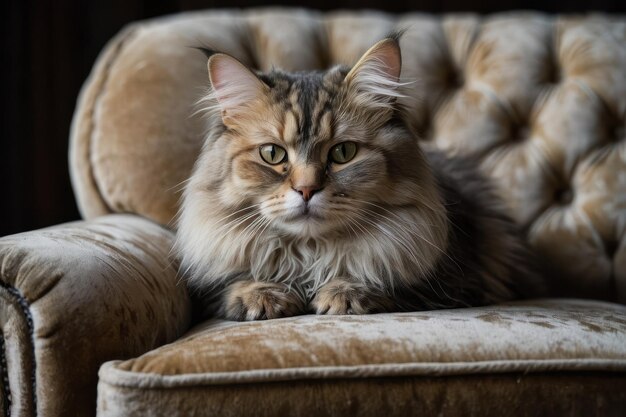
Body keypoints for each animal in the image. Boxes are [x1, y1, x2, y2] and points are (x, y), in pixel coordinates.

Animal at [174, 35, 540, 322]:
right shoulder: (210, 286)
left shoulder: (456, 283)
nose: (306, 189)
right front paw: (263, 296)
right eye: (273, 154)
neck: (311, 256)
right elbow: (234, 283)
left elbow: (382, 280)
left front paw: (344, 293)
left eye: (343, 152)